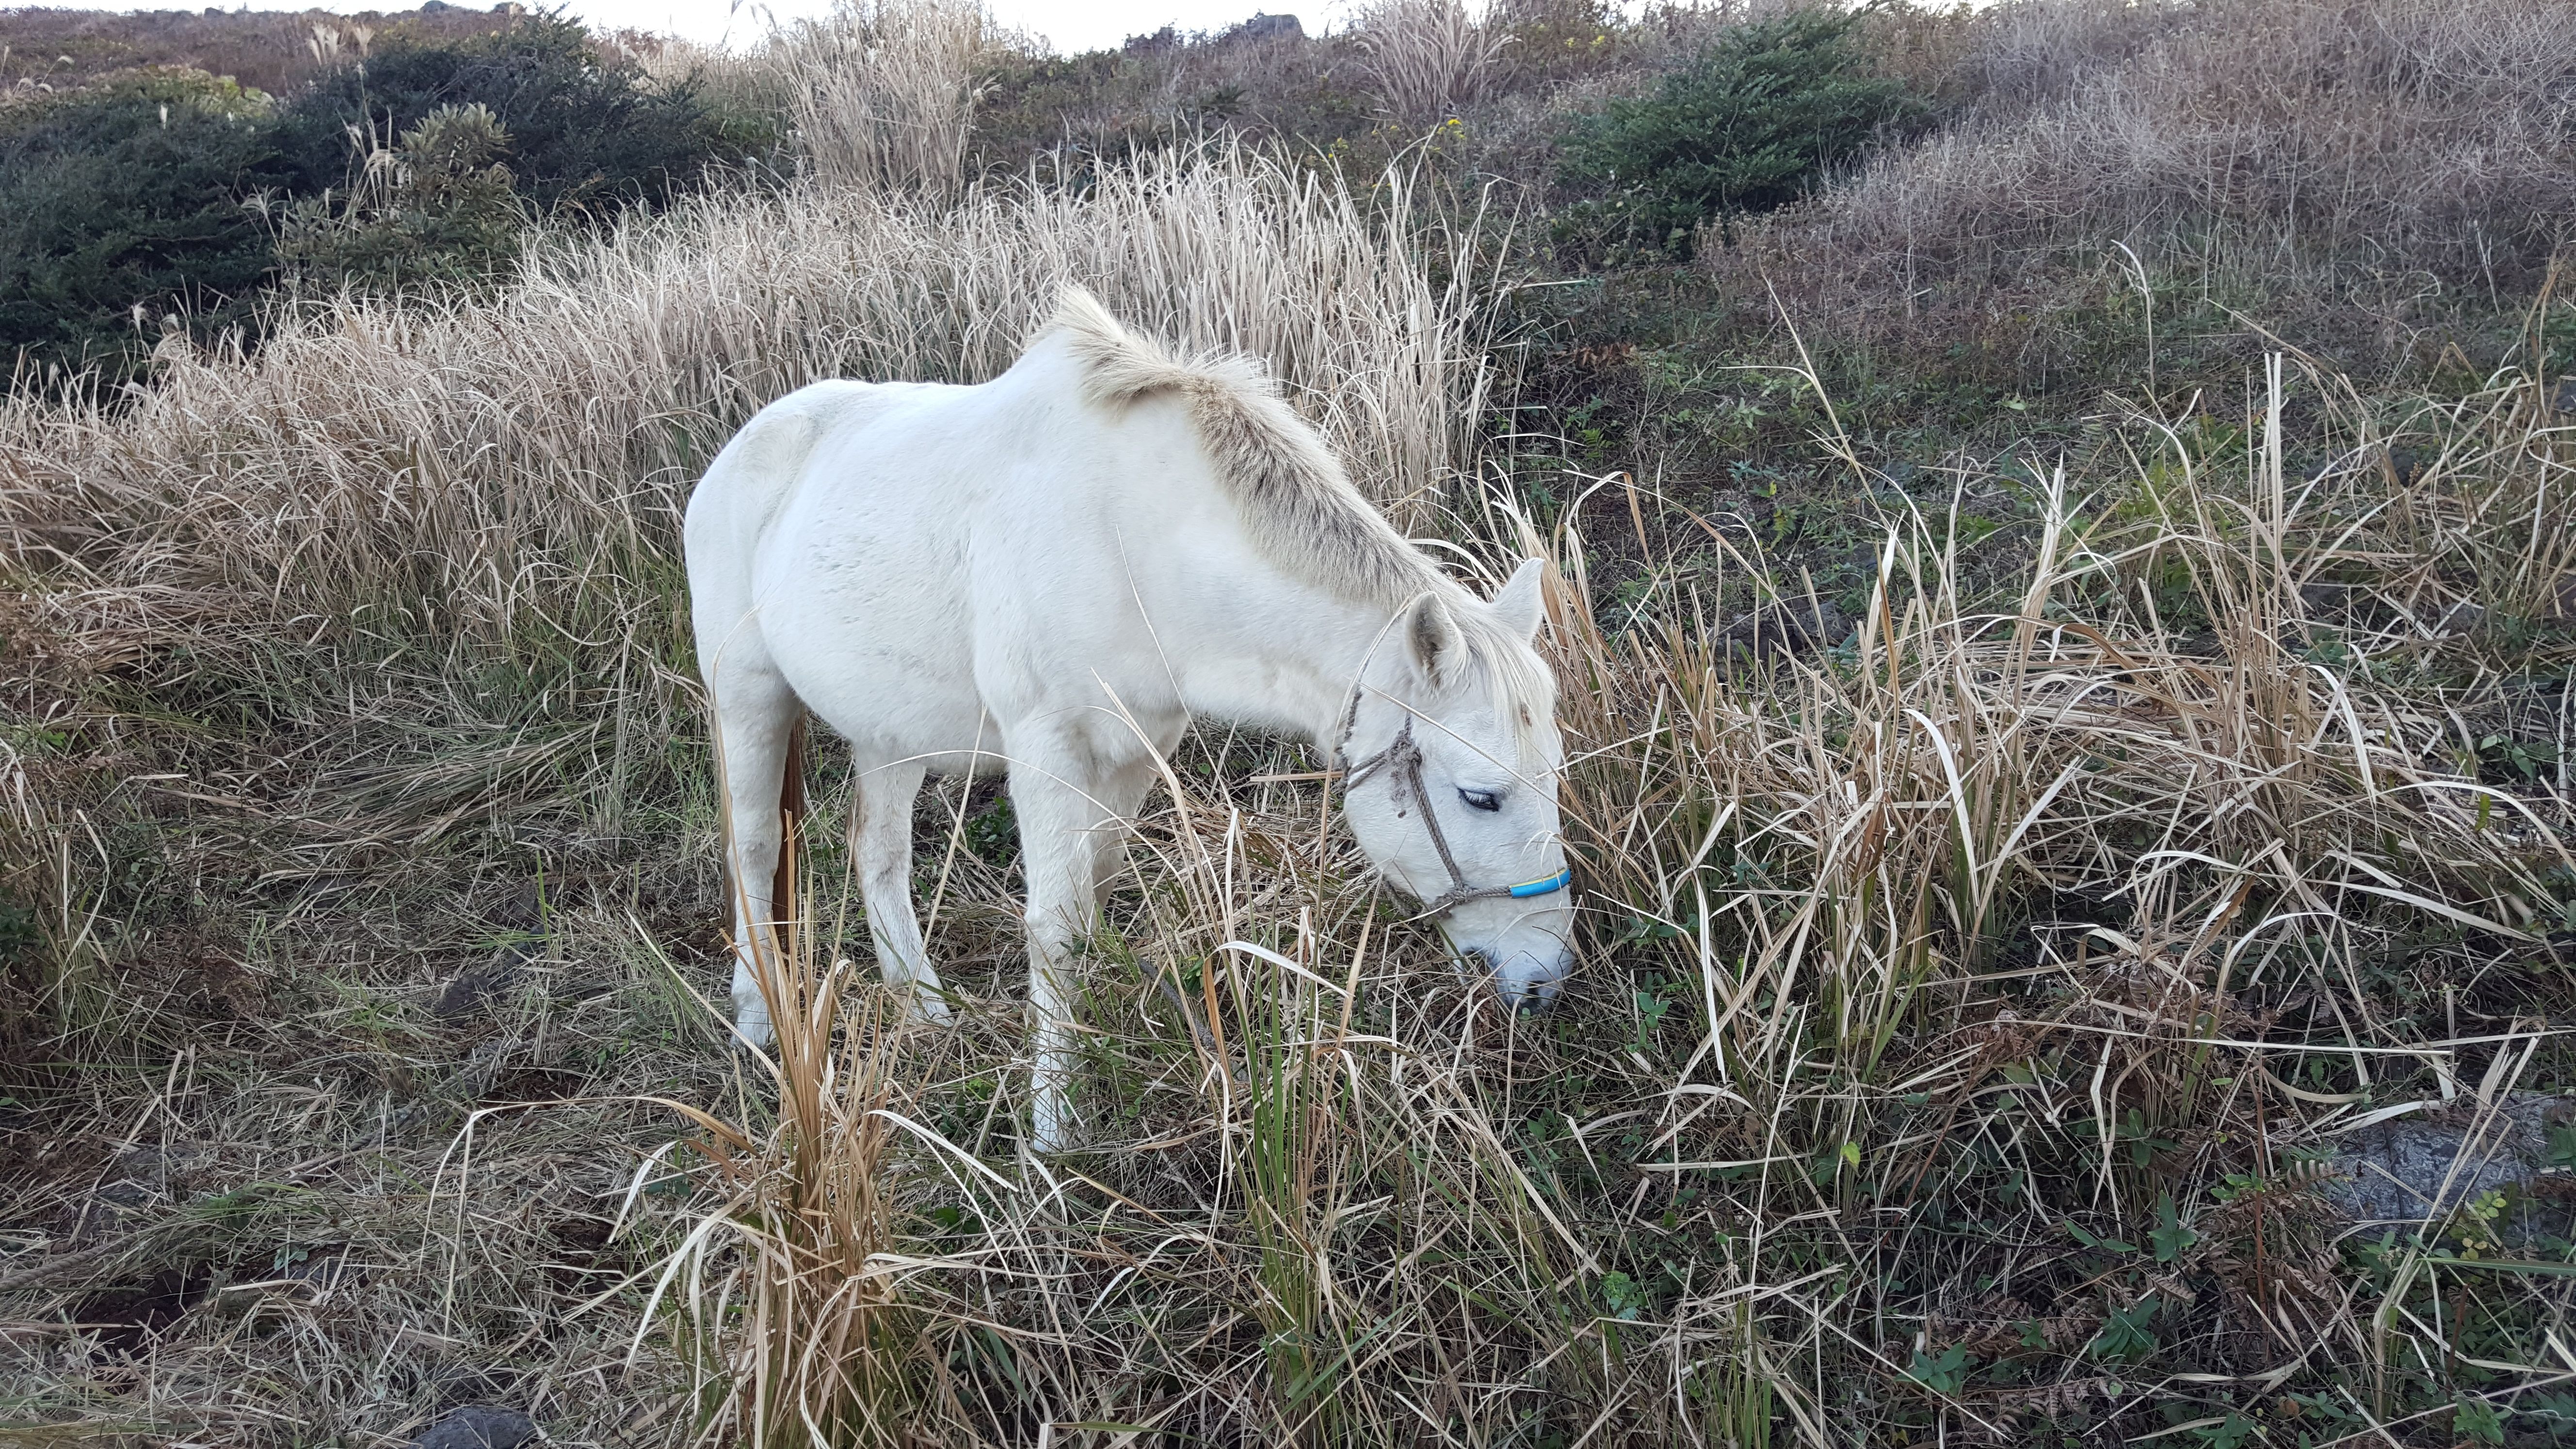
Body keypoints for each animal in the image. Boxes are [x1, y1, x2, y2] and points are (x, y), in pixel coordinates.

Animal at [685, 290, 1566, 1150]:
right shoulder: (1046, 748)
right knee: (753, 847)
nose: (1546, 977)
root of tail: (745, 447)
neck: (1132, 540)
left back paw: (923, 1007)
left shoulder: (1140, 749)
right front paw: (1054, 1128)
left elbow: (1092, 899)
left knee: (878, 853)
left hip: (889, 731)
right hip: (748, 696)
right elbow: (1053, 925)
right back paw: (758, 1018)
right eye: (1480, 797)